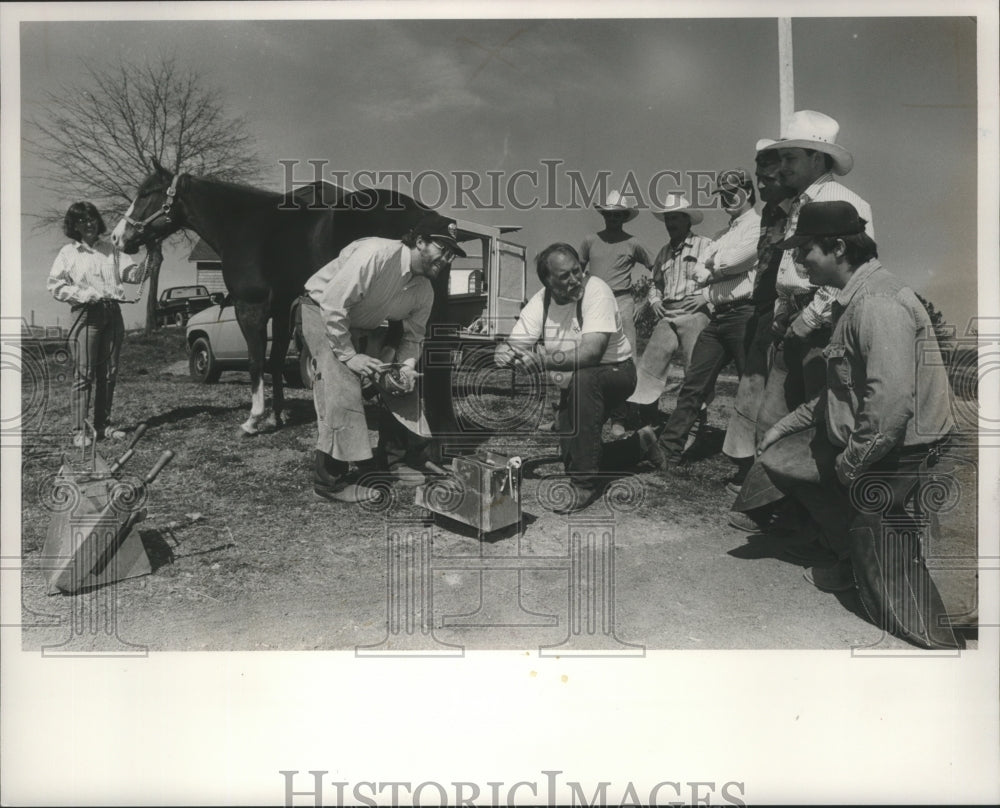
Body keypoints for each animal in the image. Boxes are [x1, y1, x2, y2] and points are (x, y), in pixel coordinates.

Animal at [113, 163, 434, 436]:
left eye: (146, 194)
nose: (118, 238)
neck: (244, 224)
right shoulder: (280, 308)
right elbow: (276, 359)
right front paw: (277, 416)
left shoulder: (250, 307)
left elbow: (256, 361)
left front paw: (253, 420)